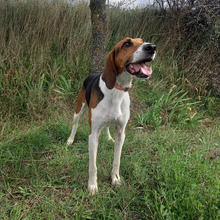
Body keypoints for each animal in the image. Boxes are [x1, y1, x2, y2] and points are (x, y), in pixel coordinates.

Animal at [67, 37, 156, 194]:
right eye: (127, 43)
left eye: (142, 41)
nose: (152, 47)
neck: (116, 90)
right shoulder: (93, 134)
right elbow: (93, 165)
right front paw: (92, 185)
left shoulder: (121, 132)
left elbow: (117, 160)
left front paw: (115, 178)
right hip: (79, 109)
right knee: (75, 124)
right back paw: (70, 140)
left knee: (107, 127)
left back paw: (108, 137)